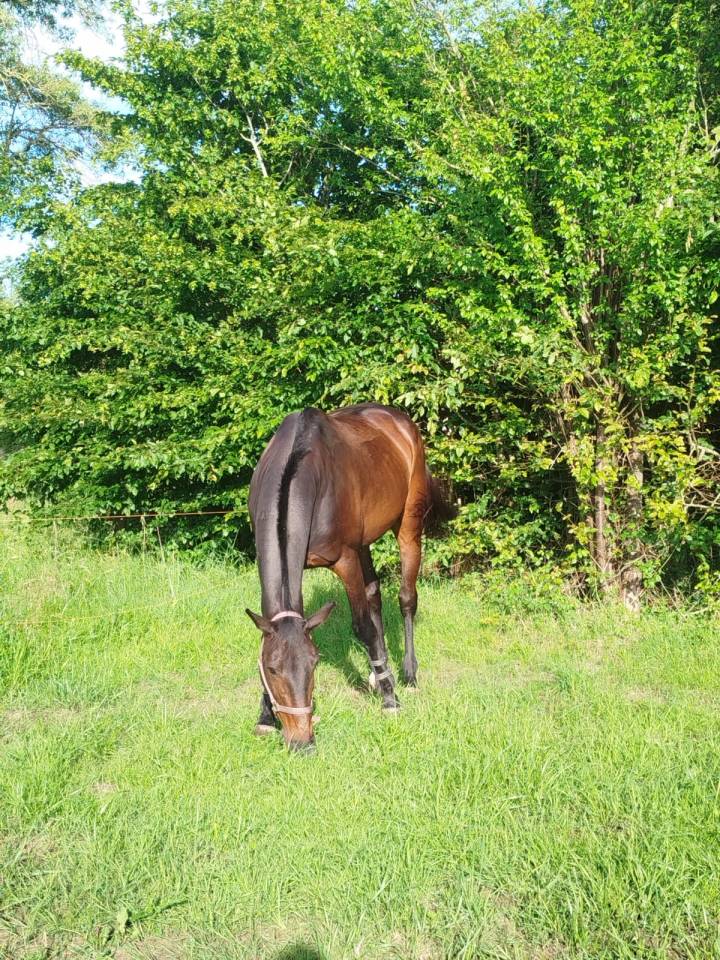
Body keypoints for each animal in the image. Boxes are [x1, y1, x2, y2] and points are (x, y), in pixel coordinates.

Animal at [246, 402, 452, 751]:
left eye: (314, 663)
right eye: (272, 669)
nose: (302, 741)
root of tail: (399, 419)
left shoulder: (345, 560)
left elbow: (362, 626)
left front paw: (390, 700)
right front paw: (264, 717)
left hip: (407, 524)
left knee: (406, 599)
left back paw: (408, 675)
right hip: (365, 543)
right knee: (375, 594)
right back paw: (381, 673)